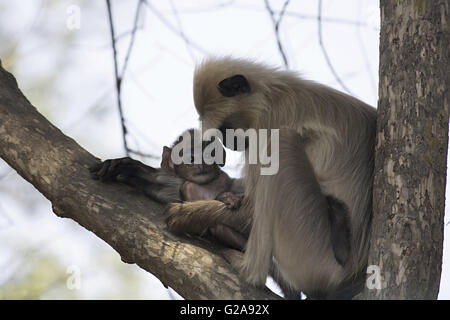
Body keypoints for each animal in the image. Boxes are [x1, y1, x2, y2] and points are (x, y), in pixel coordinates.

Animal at [163, 56, 378, 298]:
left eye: (226, 130)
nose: (229, 143)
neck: (273, 95)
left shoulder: (267, 125)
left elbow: (248, 212)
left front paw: (183, 214)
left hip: (314, 254)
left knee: (283, 143)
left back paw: (249, 271)